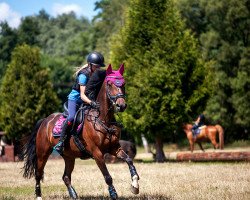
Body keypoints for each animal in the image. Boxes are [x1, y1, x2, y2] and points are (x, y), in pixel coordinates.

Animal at [20, 64, 140, 200]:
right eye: (109, 84)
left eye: (123, 84)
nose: (121, 105)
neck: (102, 119)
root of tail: (45, 121)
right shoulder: (97, 153)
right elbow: (108, 176)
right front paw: (113, 194)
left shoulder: (114, 148)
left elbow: (129, 160)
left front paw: (135, 186)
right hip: (42, 153)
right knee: (38, 173)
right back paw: (39, 196)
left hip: (69, 156)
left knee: (66, 177)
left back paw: (73, 195)